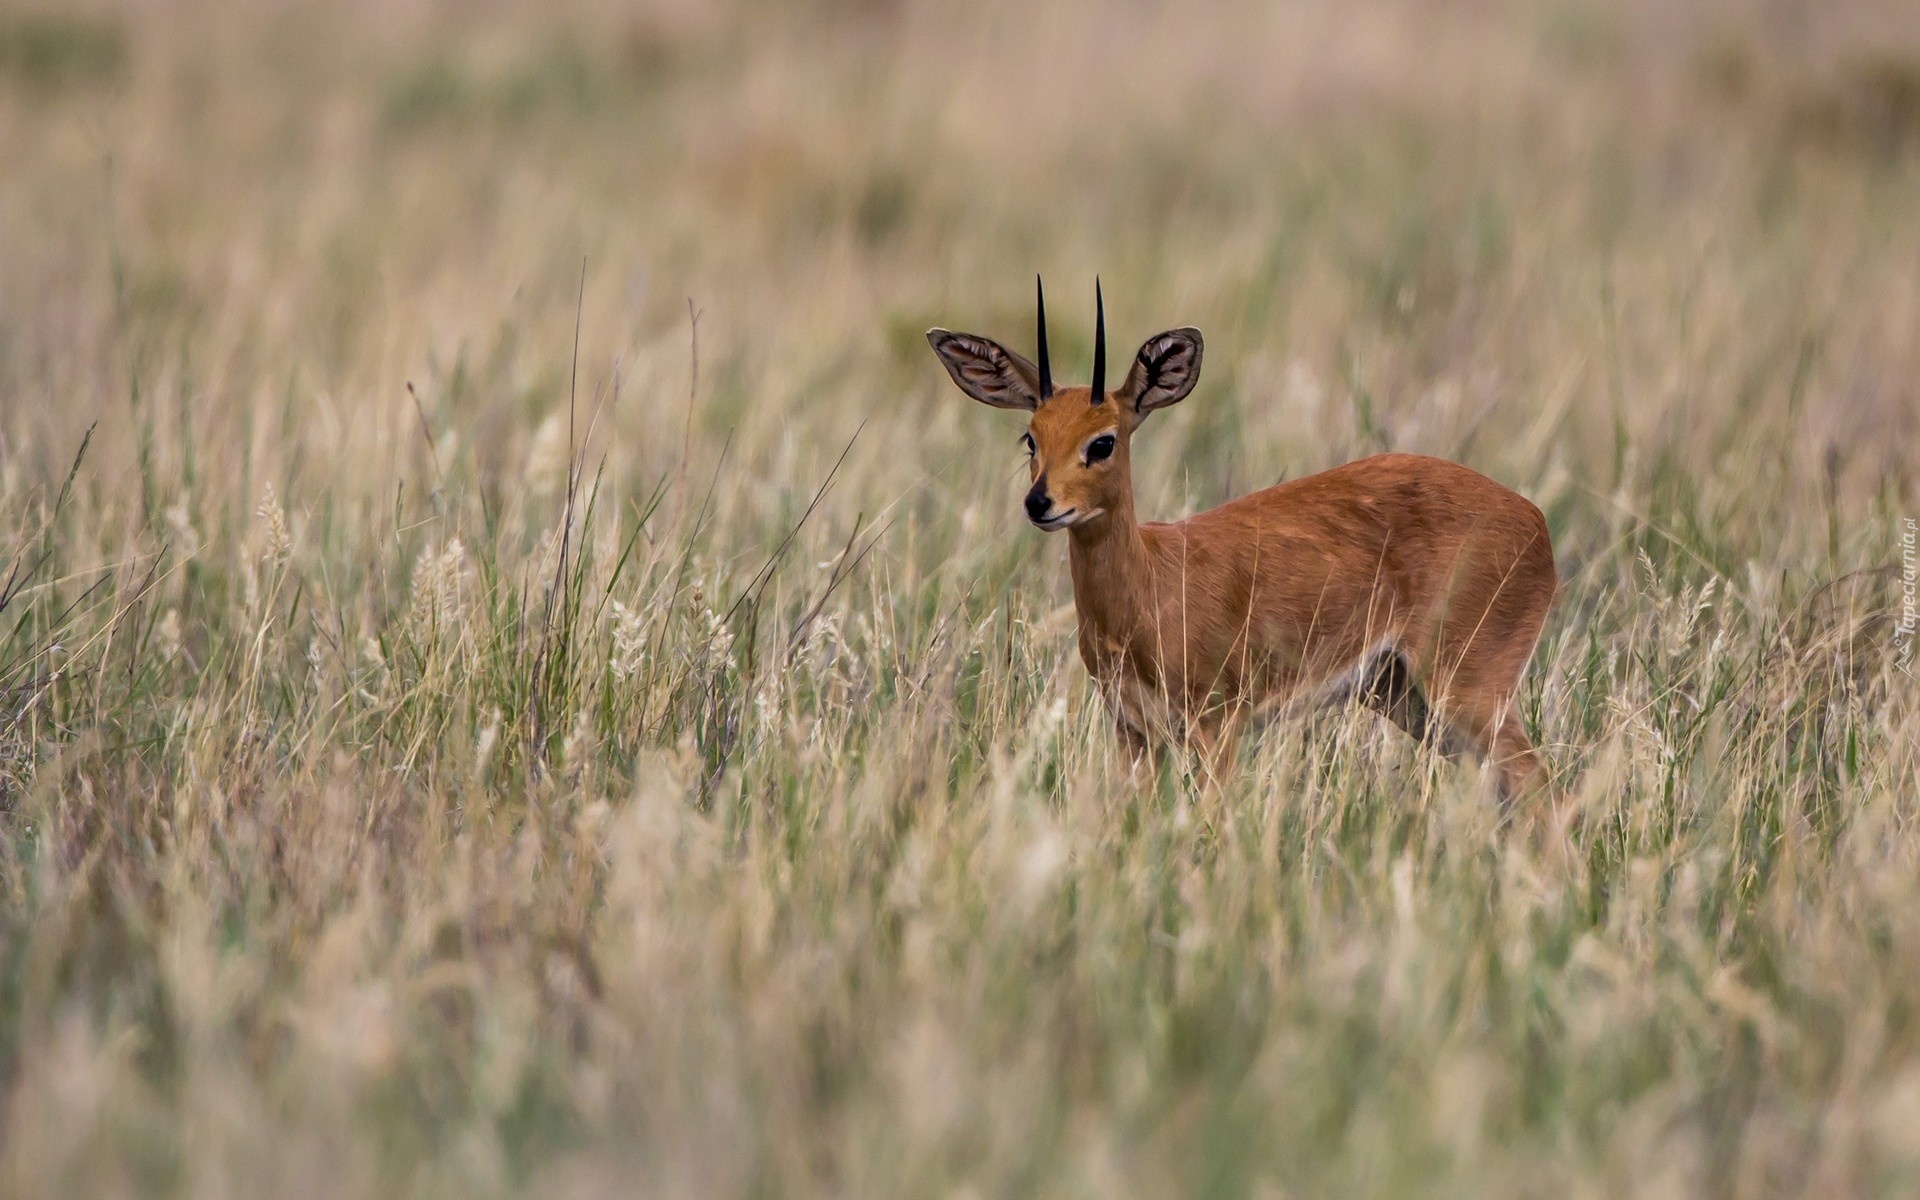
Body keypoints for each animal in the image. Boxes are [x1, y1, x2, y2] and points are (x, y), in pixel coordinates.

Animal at [929, 280, 1559, 798]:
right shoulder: (1133, 732)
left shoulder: (1217, 726)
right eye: (1031, 437)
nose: (1040, 503)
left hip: (1466, 687)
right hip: (1408, 697)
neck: (1149, 586)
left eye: (1102, 441)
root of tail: (1536, 521)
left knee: (1539, 782)